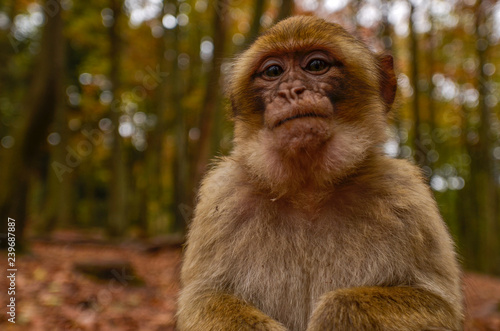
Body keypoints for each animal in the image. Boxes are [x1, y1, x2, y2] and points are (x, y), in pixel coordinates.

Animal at [178, 15, 462, 331]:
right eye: (273, 71)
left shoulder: (404, 194)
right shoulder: (223, 196)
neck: (308, 189)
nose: (290, 91)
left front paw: (336, 313)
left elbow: (439, 305)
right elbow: (202, 297)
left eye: (315, 66)